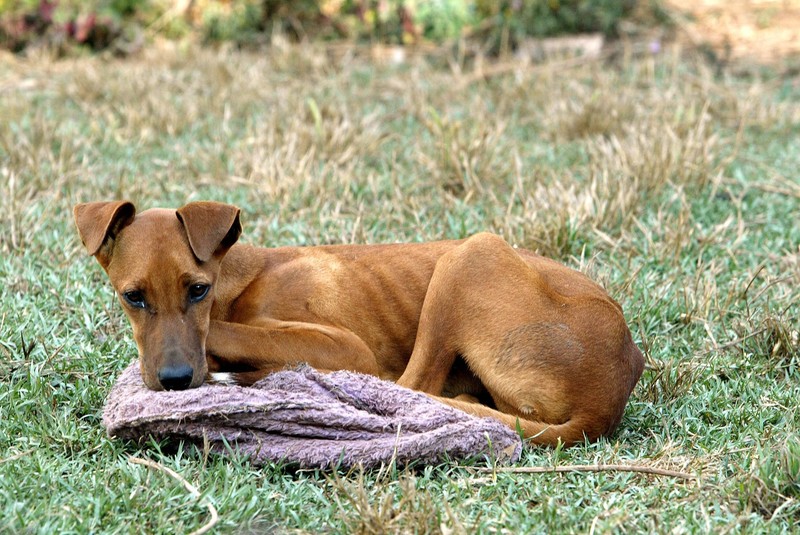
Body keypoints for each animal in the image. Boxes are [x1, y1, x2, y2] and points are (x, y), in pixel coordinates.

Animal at [75, 200, 644, 444]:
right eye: (132, 298)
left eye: (198, 290)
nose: (173, 383)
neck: (240, 279)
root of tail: (606, 397)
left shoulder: (350, 350)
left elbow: (222, 331)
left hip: (470, 253)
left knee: (412, 386)